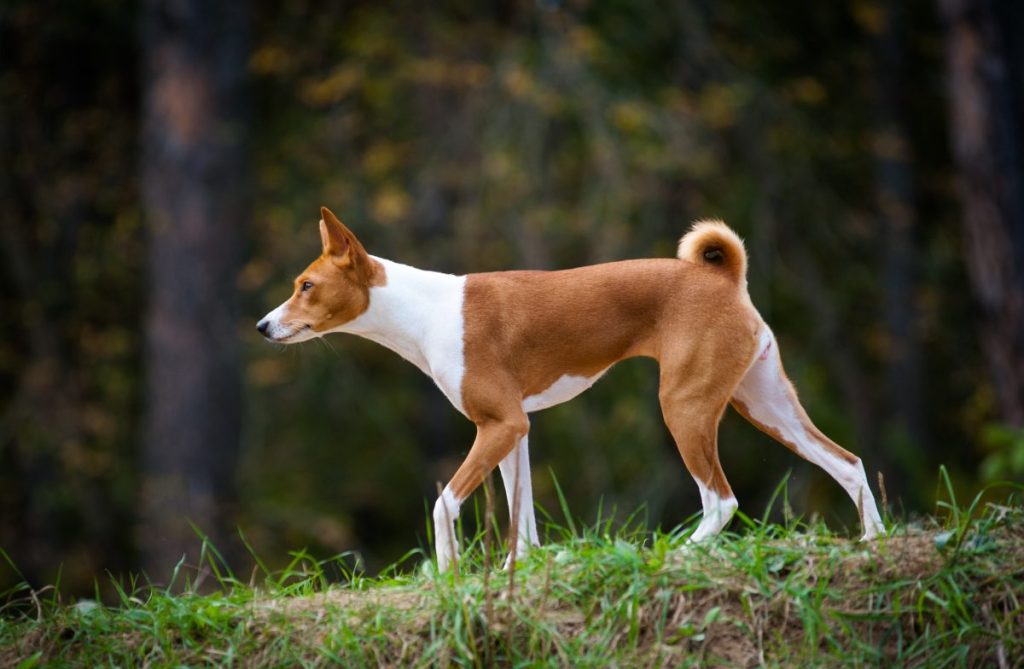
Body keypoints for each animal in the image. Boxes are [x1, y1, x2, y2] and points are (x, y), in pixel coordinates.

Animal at [258, 204, 888, 569]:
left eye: (305, 285)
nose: (263, 326)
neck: (424, 311)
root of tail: (721, 275)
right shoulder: (513, 431)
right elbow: (523, 525)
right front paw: (517, 575)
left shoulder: (501, 425)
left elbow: (442, 505)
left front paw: (449, 577)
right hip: (765, 404)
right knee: (848, 462)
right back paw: (874, 542)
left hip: (684, 406)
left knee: (722, 499)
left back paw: (677, 554)